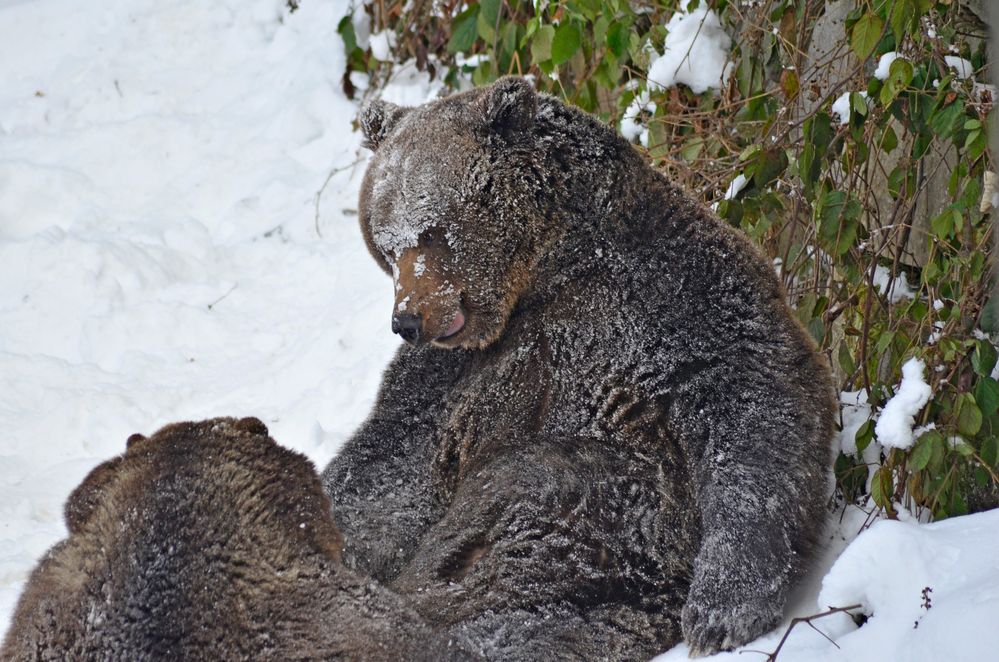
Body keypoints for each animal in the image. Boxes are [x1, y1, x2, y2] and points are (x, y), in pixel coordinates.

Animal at [324, 76, 840, 660]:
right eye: (386, 245)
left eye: (432, 231)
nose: (407, 320)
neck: (546, 272)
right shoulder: (450, 375)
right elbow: (389, 470)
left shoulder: (670, 295)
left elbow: (756, 402)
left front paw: (722, 609)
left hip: (604, 530)